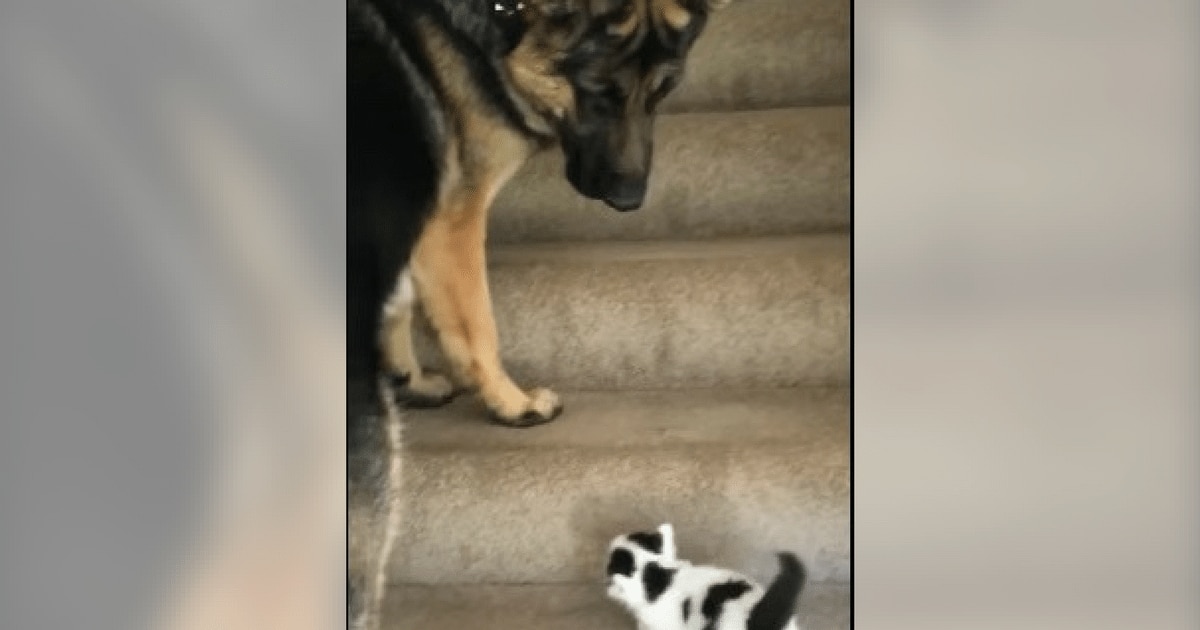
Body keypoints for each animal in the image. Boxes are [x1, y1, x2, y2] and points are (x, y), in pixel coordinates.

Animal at [345, 1, 720, 624]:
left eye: (663, 91)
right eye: (597, 91)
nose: (630, 202)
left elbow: (401, 301)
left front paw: (410, 377)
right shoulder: (454, 218)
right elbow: (476, 324)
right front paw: (511, 403)